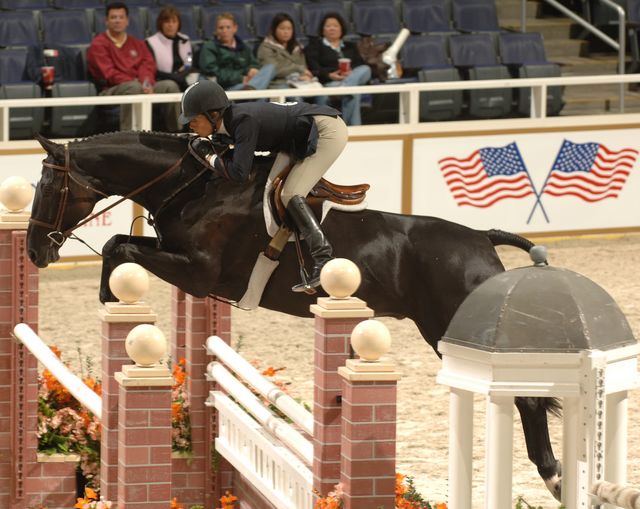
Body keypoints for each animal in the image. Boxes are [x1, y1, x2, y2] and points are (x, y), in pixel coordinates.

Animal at [28, 130, 560, 496]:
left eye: (49, 187)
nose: (36, 251)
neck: (194, 186)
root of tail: (481, 238)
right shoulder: (183, 265)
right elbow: (119, 244)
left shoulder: (198, 272)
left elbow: (118, 246)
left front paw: (111, 298)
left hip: (452, 328)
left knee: (528, 399)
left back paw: (553, 475)